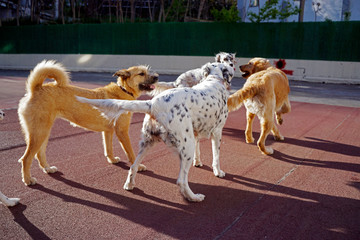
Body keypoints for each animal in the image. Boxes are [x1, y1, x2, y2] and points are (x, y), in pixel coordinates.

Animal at [17, 60, 158, 186]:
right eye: (141, 73)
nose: (157, 77)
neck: (123, 90)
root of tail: (36, 88)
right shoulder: (122, 131)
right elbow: (131, 153)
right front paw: (138, 166)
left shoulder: (108, 131)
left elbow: (109, 149)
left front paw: (112, 160)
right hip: (39, 133)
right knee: (26, 158)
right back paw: (28, 180)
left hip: (43, 132)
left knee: (39, 154)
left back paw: (48, 169)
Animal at [77, 62, 235, 202]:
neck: (213, 79)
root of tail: (152, 104)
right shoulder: (217, 132)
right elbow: (216, 157)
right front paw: (218, 172)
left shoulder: (196, 132)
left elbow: (199, 151)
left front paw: (199, 163)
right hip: (186, 146)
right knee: (181, 180)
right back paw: (193, 197)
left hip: (148, 142)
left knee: (133, 166)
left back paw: (129, 185)